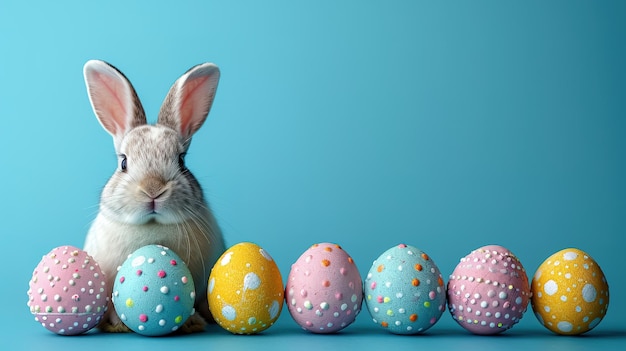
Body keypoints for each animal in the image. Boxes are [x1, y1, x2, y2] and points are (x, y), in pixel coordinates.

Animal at [81, 59, 225, 332]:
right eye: (123, 162)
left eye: (181, 161)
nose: (153, 189)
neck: (152, 228)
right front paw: (117, 324)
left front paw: (192, 322)